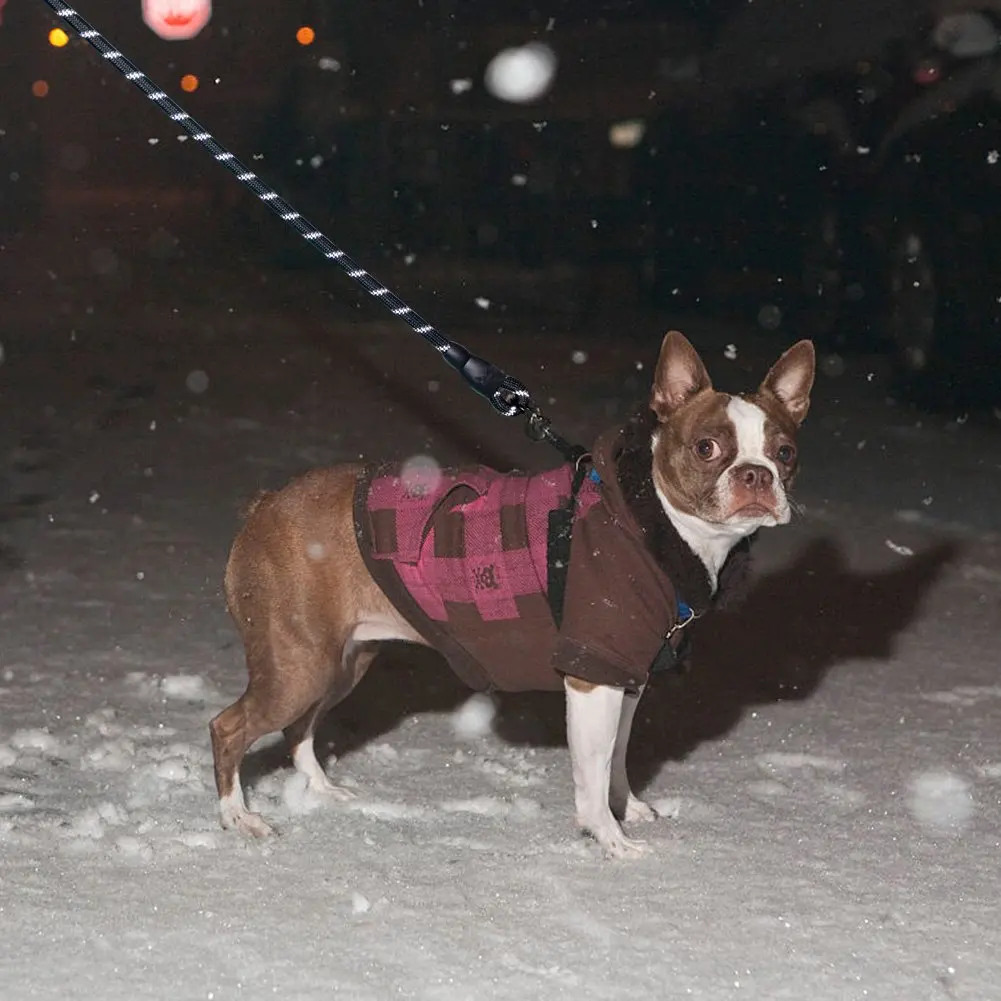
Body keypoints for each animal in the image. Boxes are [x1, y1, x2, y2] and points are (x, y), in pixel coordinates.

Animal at [211, 332, 812, 856]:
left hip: (342, 662)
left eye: (785, 453)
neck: (651, 523)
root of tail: (264, 505)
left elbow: (618, 758)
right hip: (300, 665)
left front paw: (630, 810)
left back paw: (322, 790)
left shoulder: (628, 674)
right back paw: (238, 817)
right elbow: (593, 773)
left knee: (299, 727)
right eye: (707, 448)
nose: (756, 475)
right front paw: (611, 841)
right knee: (229, 727)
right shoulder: (593, 673)